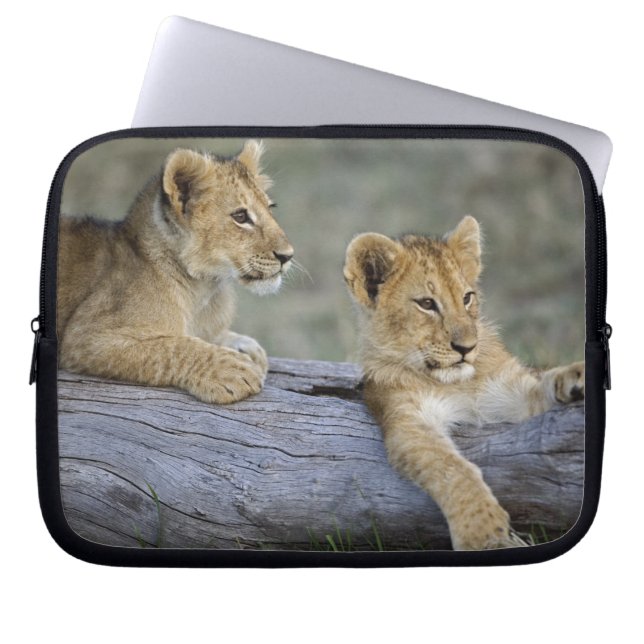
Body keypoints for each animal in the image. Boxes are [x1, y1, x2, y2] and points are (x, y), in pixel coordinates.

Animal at [58, 140, 293, 404]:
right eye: (240, 216)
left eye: (270, 208)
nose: (287, 256)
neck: (204, 290)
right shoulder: (86, 337)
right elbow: (171, 347)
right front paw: (231, 369)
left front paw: (245, 346)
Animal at [343, 216, 584, 550]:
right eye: (427, 303)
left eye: (467, 298)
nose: (467, 348)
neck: (455, 383)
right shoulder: (406, 419)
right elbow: (451, 468)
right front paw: (483, 533)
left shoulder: (508, 393)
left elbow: (541, 384)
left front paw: (575, 378)